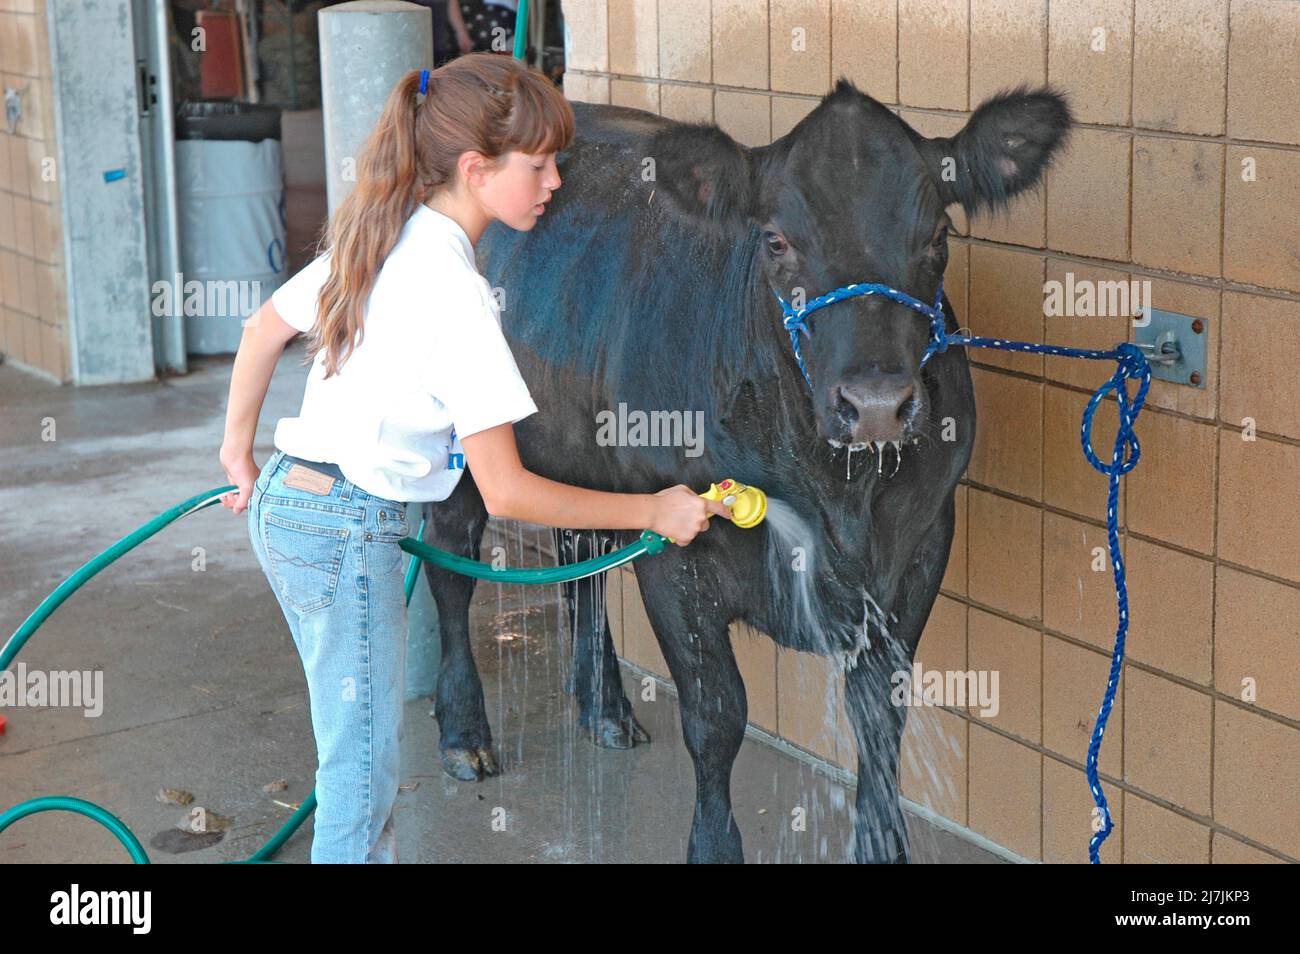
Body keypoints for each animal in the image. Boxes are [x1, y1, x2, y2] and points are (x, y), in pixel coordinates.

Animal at [421, 78, 1071, 863]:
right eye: (776, 240)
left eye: (938, 238)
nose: (875, 404)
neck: (837, 489)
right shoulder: (675, 550)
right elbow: (717, 718)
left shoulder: (921, 543)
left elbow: (880, 717)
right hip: (459, 452)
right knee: (451, 567)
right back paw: (464, 734)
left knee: (581, 569)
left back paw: (604, 709)